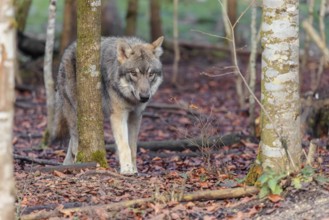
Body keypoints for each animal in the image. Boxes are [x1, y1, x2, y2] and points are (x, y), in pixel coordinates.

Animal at [53, 36, 164, 174]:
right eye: (133, 73)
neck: (129, 99)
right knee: (74, 141)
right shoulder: (118, 116)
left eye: (151, 74)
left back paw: (67, 165)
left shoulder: (136, 117)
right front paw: (127, 169)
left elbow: (133, 147)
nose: (144, 97)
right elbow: (124, 146)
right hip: (75, 112)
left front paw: (134, 169)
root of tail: (68, 49)